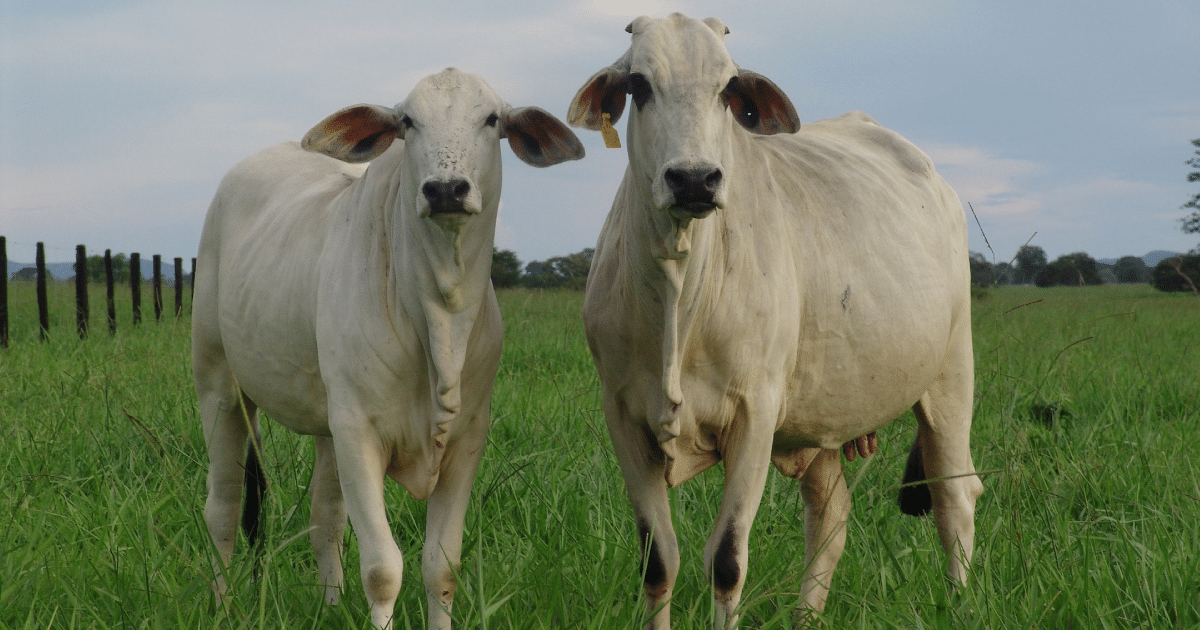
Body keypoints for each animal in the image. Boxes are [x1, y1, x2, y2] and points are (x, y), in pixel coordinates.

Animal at [192, 67, 584, 630]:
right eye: (408, 121)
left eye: (492, 119)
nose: (445, 189)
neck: (440, 316)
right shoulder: (359, 431)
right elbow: (383, 569)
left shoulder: (466, 440)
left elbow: (441, 566)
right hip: (220, 386)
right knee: (223, 507)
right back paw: (223, 607)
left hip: (326, 423)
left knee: (325, 517)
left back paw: (331, 605)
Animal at [568, 14, 983, 629]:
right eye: (639, 85)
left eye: (727, 87)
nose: (694, 179)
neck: (679, 293)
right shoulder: (624, 414)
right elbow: (658, 560)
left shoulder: (754, 415)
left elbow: (726, 560)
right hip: (824, 415)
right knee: (830, 517)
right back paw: (807, 615)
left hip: (951, 376)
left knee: (954, 498)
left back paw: (958, 603)